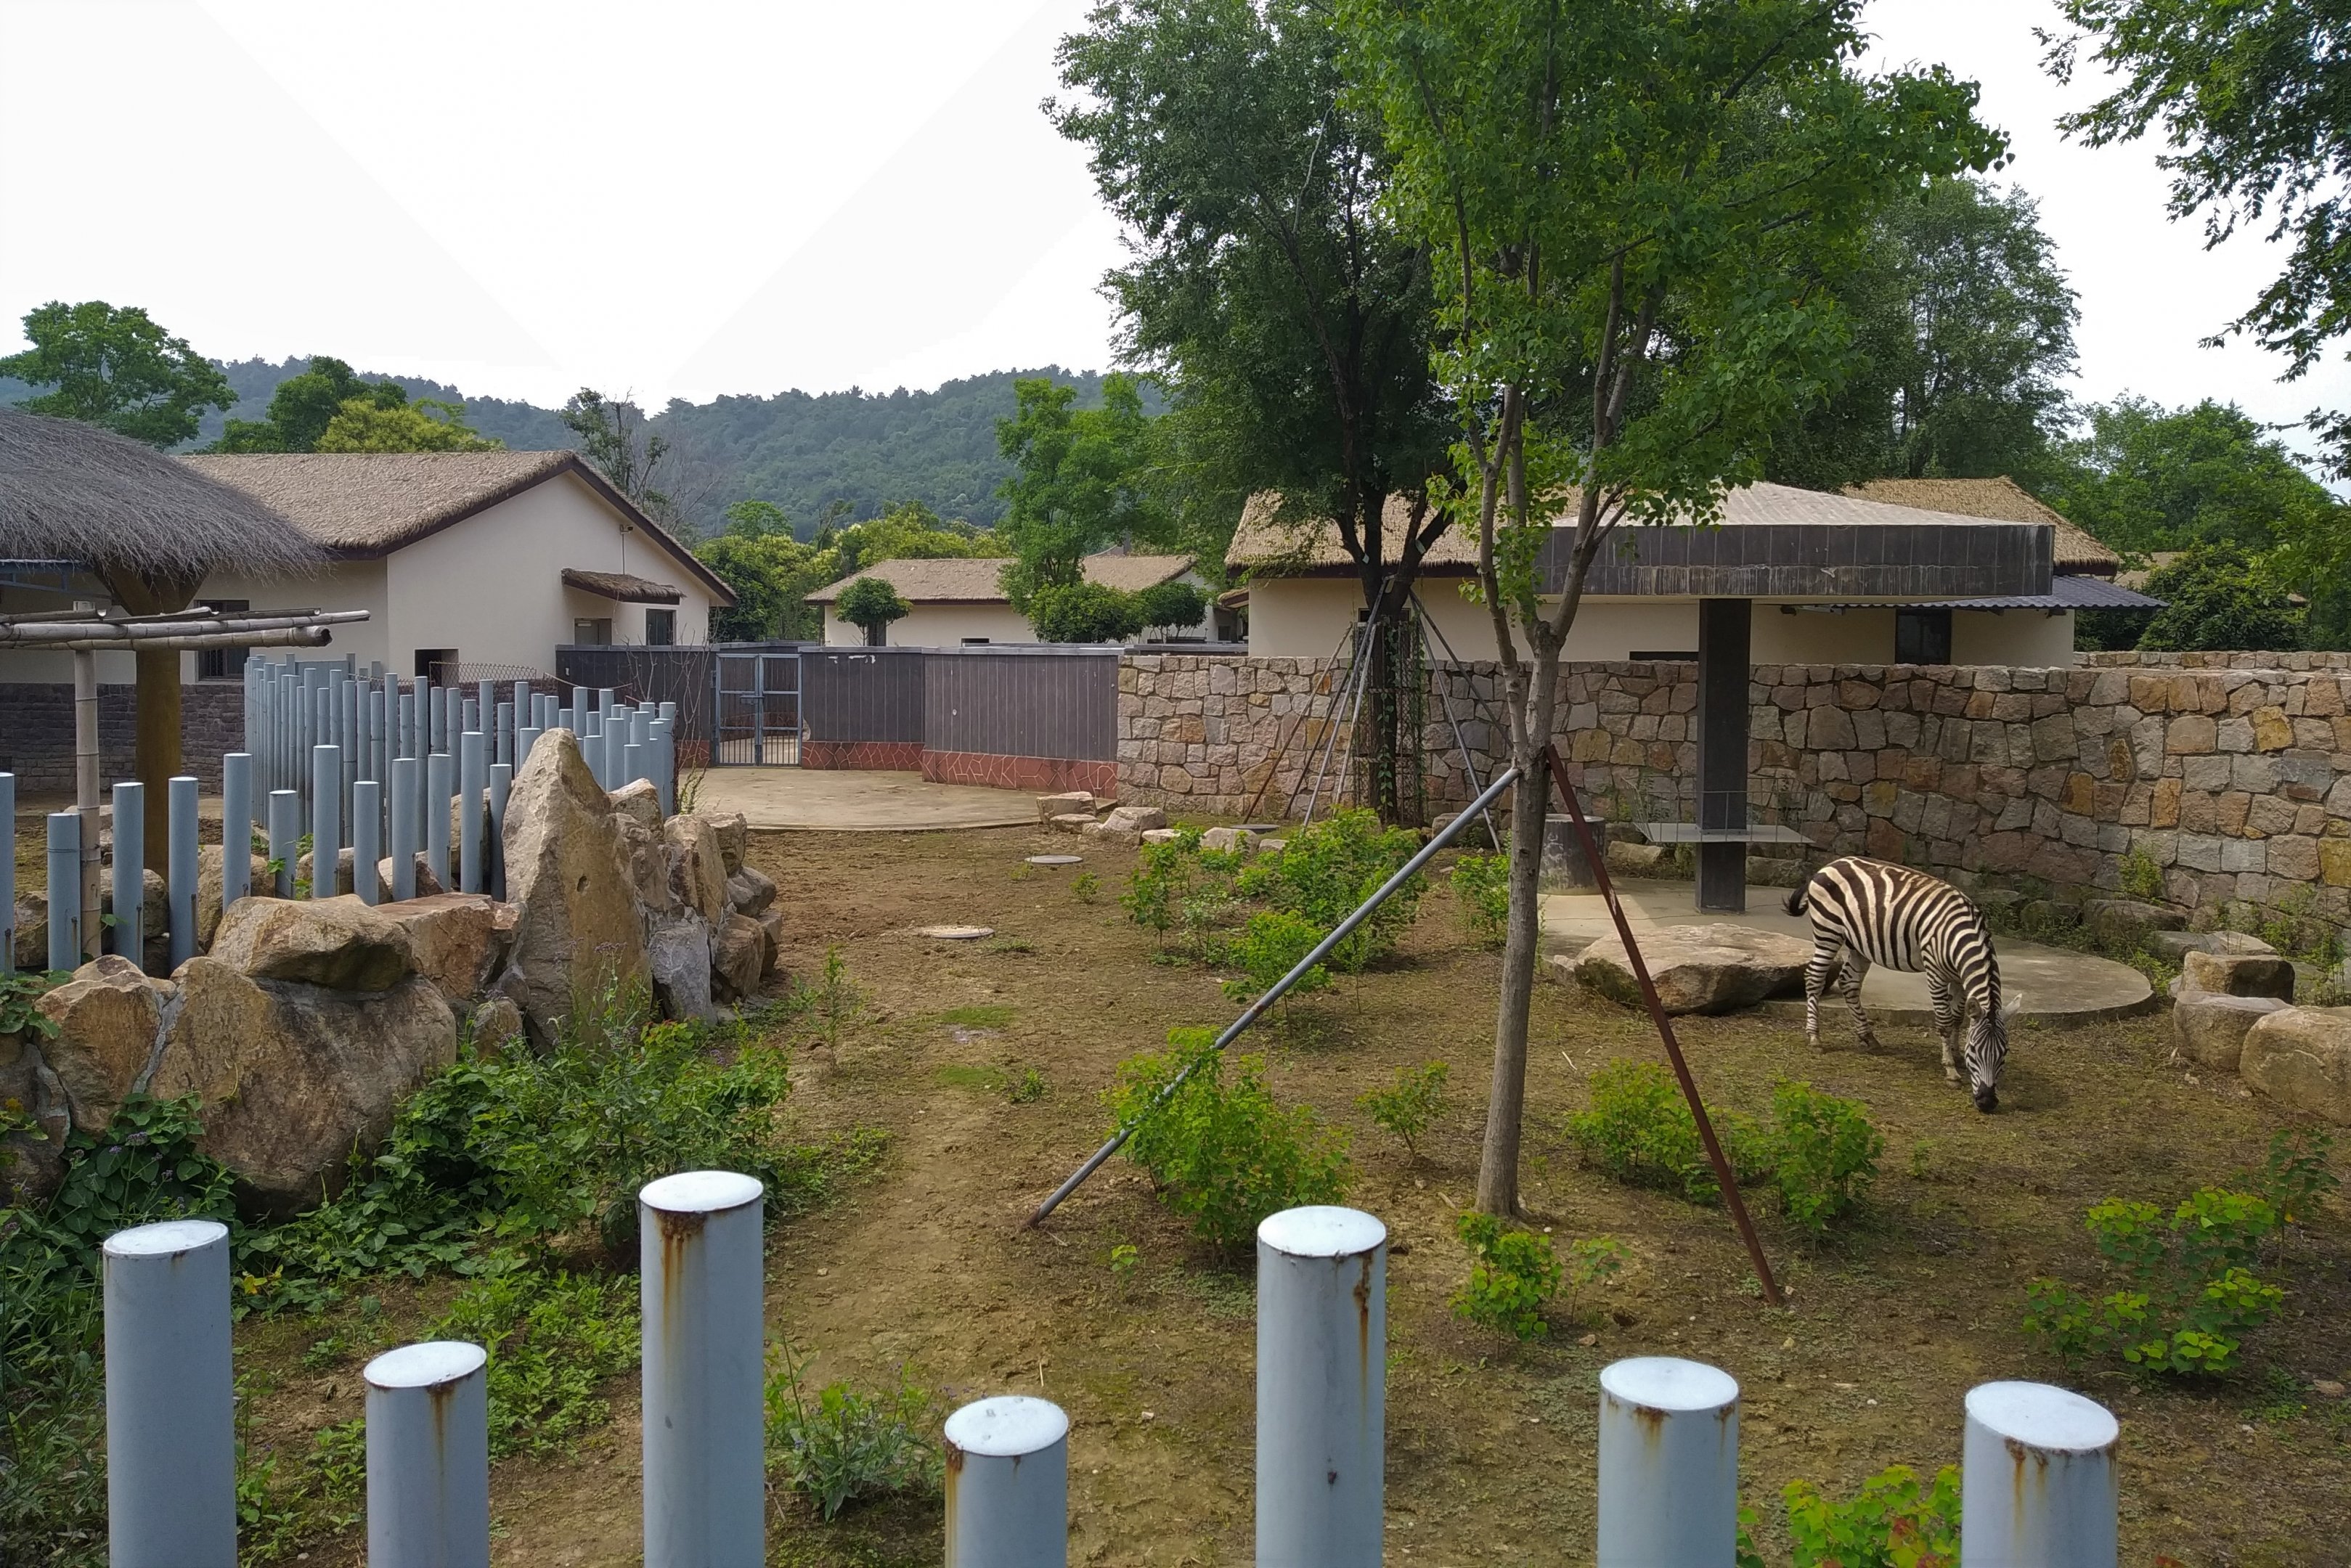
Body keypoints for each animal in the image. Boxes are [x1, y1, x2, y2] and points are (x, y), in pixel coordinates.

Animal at [1785, 856, 2017, 1112]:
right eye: (1975, 1051)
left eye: (2005, 1052)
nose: (1987, 1102)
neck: (1962, 935)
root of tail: (1830, 864)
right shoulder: (1935, 973)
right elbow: (1945, 1022)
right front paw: (1951, 1071)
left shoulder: (1958, 977)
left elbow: (1958, 1017)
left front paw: (1956, 1054)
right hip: (1828, 932)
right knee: (1814, 978)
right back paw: (1815, 1038)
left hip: (1858, 944)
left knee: (1849, 982)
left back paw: (1868, 1037)